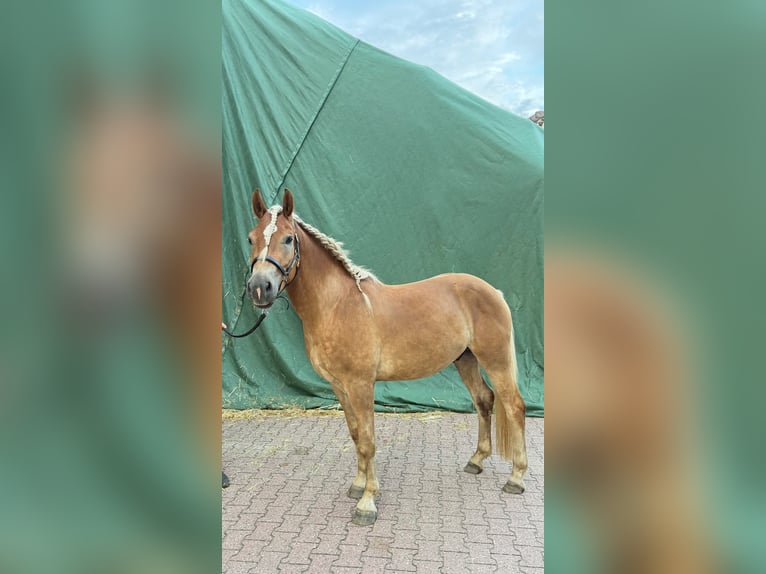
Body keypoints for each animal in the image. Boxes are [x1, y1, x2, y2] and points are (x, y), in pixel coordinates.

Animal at [244, 188, 528, 526]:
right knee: (484, 400)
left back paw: (516, 478)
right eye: (251, 238)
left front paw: (367, 502)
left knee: (514, 406)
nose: (259, 288)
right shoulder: (339, 386)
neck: (338, 306)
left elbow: (368, 441)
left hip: (495, 360)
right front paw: (357, 485)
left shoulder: (360, 385)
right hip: (466, 359)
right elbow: (355, 435)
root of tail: (493, 292)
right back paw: (476, 461)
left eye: (288, 239)